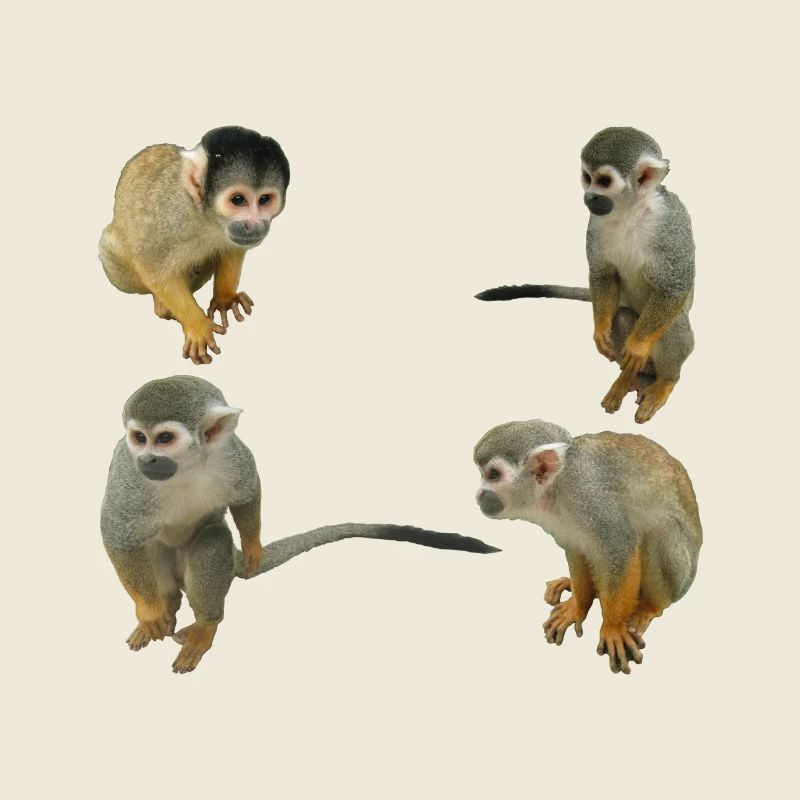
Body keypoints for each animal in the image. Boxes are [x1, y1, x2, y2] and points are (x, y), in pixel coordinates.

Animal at [99, 126, 289, 365]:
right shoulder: (170, 217)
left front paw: (225, 299)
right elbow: (152, 267)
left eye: (264, 200)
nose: (254, 225)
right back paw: (160, 302)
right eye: (238, 200)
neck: (207, 215)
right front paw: (197, 326)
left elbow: (232, 249)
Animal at [101, 376, 499, 673]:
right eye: (139, 438)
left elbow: (248, 491)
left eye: (165, 438)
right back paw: (164, 607)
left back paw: (206, 624)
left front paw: (253, 547)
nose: (148, 459)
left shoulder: (232, 454)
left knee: (213, 539)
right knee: (152, 548)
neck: (187, 467)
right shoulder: (127, 471)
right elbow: (116, 532)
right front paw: (149, 611)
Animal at [473, 419, 702, 674]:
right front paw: (578, 606)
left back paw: (649, 607)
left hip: (682, 574)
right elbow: (576, 548)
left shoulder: (588, 497)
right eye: (482, 474)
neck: (557, 488)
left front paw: (613, 628)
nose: (479, 494)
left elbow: (618, 545)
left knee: (662, 531)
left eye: (493, 474)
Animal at [476, 127, 695, 423]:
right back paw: (628, 378)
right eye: (587, 178)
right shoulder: (594, 223)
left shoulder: (671, 221)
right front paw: (600, 329)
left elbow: (674, 286)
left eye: (604, 181)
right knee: (621, 317)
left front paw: (638, 346)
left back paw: (665, 381)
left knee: (672, 323)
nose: (589, 197)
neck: (630, 211)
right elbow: (602, 273)